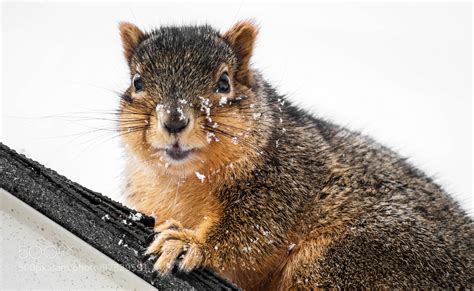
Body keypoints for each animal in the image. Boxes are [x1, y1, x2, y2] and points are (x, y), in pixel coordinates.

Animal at [116, 20, 472, 290]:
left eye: (224, 82)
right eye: (137, 82)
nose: (174, 121)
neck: (183, 178)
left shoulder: (287, 175)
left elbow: (253, 231)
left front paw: (187, 243)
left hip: (351, 257)